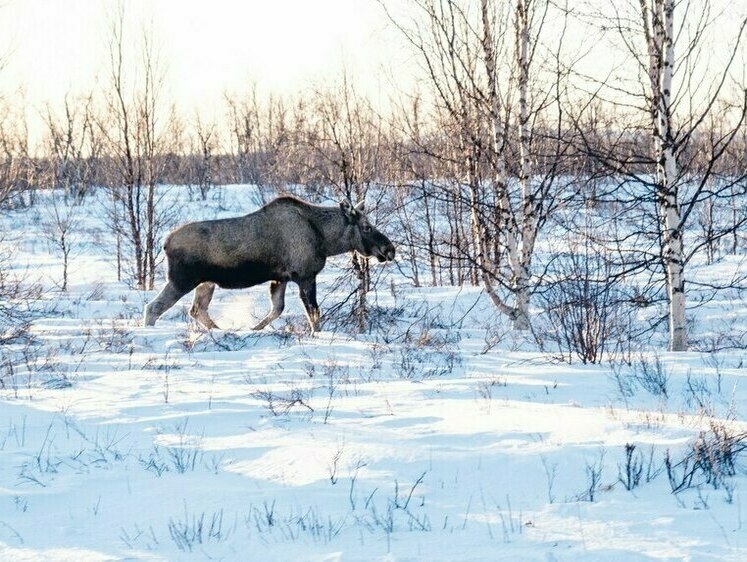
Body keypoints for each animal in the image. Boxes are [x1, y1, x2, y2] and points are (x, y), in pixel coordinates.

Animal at [142, 196, 394, 330]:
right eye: (366, 227)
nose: (389, 249)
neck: (325, 239)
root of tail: (166, 242)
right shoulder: (304, 275)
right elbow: (314, 313)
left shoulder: (280, 278)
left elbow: (277, 309)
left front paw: (254, 329)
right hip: (182, 280)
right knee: (154, 307)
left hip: (205, 283)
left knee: (197, 310)